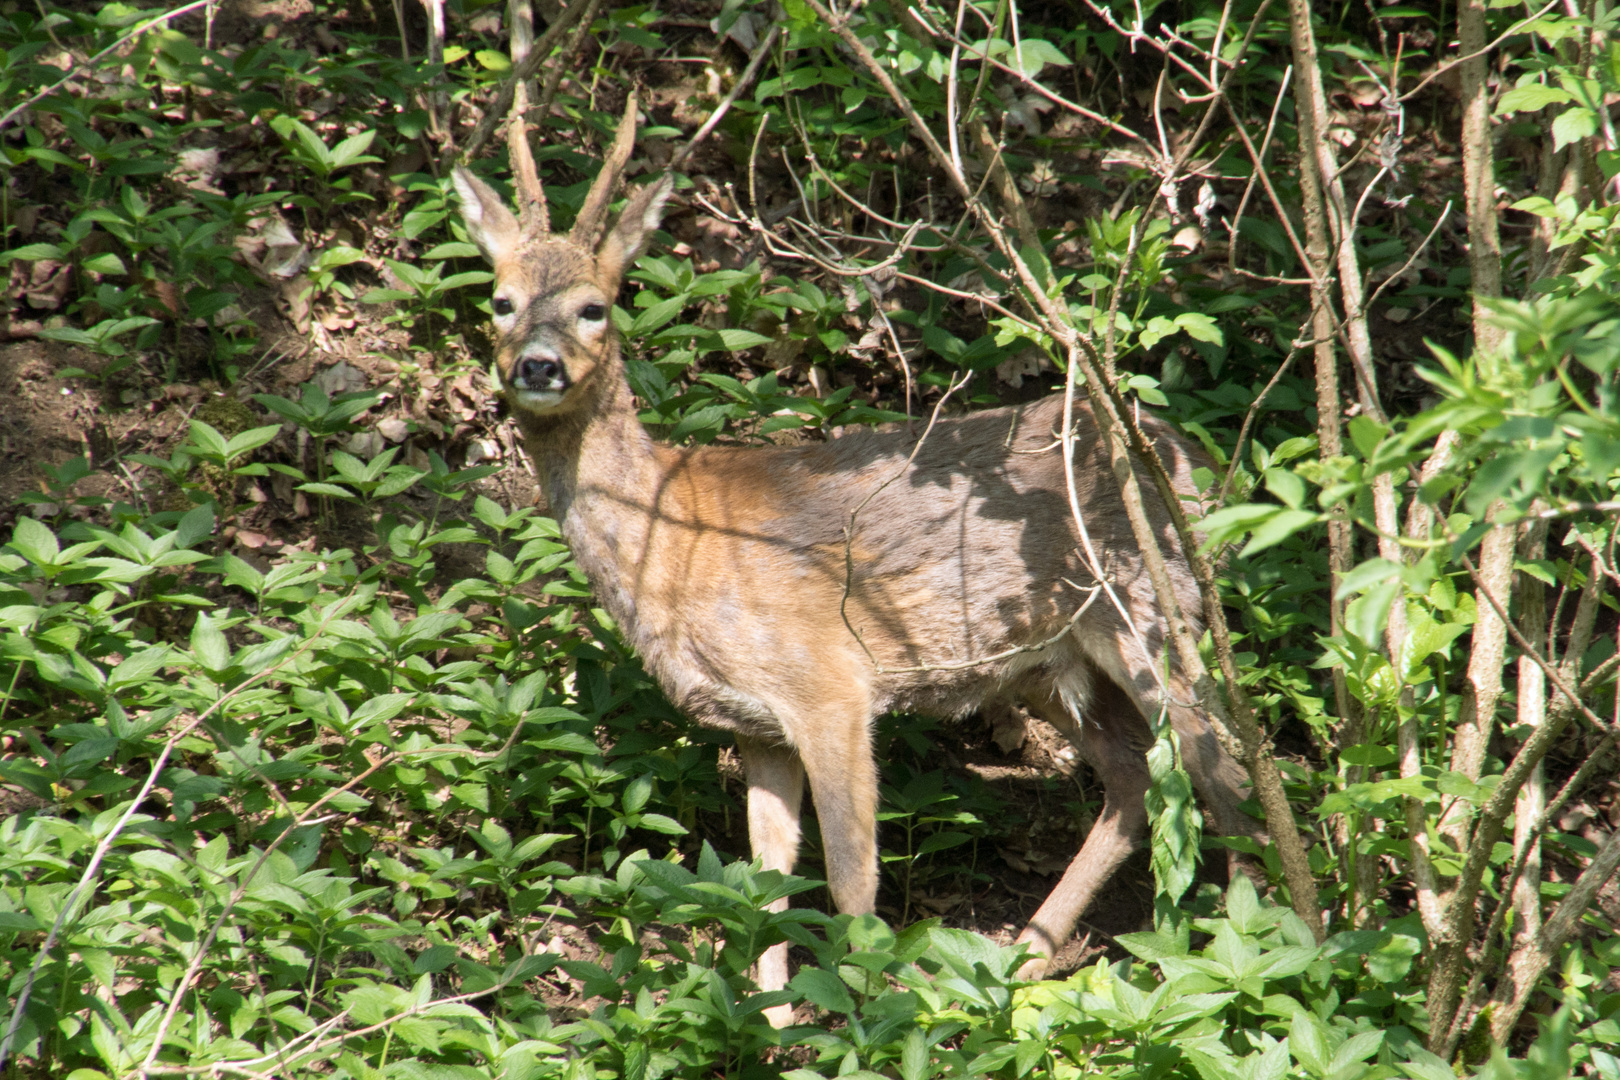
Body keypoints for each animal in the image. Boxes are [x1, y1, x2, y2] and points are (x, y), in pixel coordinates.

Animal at [450, 99, 1257, 1023]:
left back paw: (1256, 950)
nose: (535, 365)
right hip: (1045, 664)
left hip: (1152, 613)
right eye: (502, 301)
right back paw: (1023, 959)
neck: (676, 546)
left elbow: (852, 884)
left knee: (1227, 772)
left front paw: (866, 1019)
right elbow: (761, 883)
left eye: (594, 307)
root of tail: (1185, 460)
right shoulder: (753, 722)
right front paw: (764, 1023)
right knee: (1133, 782)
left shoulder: (831, 684)